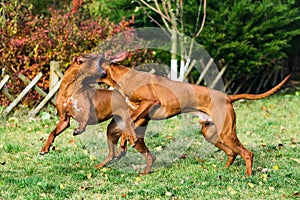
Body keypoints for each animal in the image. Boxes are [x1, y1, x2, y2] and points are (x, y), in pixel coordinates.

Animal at [76, 52, 290, 175]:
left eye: (88, 58)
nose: (77, 58)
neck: (120, 77)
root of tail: (228, 97)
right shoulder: (142, 113)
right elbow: (130, 124)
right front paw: (126, 141)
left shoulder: (150, 102)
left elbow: (130, 122)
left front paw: (125, 140)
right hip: (211, 133)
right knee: (232, 152)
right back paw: (224, 170)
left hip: (226, 132)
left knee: (247, 153)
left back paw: (247, 175)